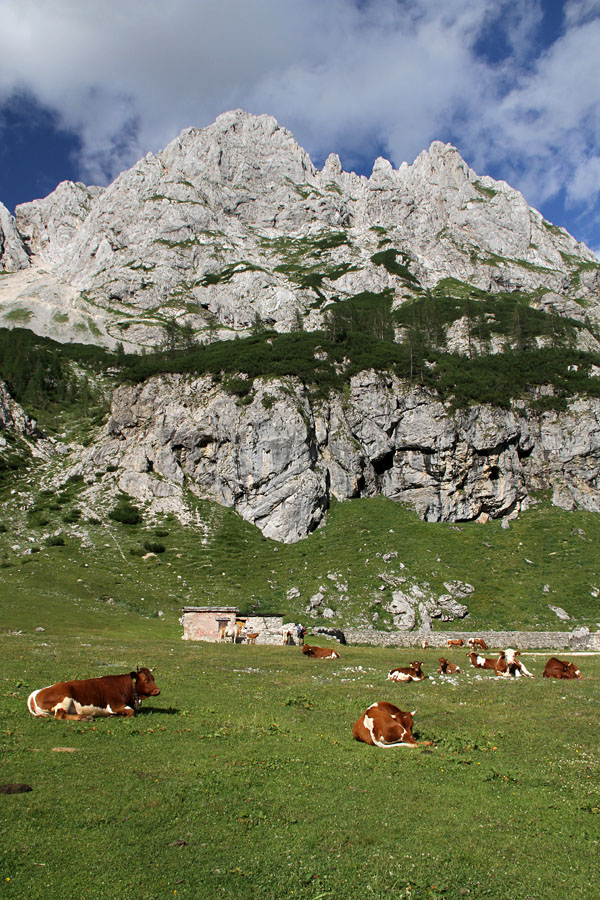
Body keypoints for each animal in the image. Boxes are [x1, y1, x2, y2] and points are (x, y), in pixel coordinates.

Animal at [27, 668, 161, 724]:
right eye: (145, 679)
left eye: (153, 678)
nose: (157, 691)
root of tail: (34, 694)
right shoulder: (115, 705)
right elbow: (131, 712)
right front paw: (114, 716)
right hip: (65, 698)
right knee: (60, 715)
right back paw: (84, 718)